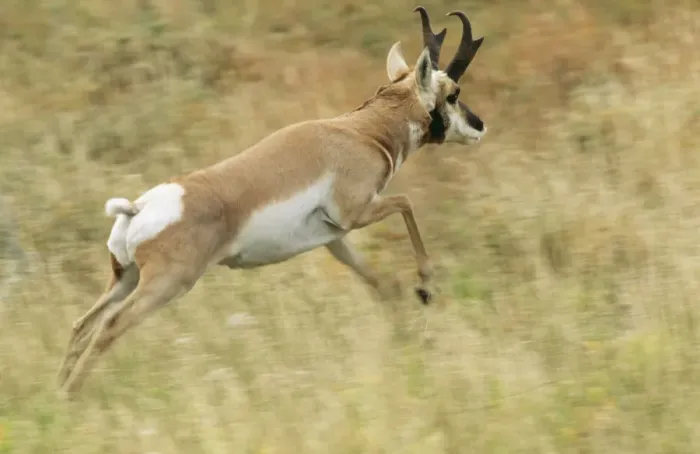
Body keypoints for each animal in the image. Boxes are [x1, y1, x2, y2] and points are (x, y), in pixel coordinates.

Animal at [56, 5, 487, 396]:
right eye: (454, 94)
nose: (479, 126)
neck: (360, 132)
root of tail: (139, 208)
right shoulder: (358, 211)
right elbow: (407, 203)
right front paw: (426, 287)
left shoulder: (334, 237)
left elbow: (380, 281)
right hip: (165, 285)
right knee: (109, 326)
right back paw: (71, 397)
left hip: (125, 277)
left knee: (81, 325)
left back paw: (58, 394)